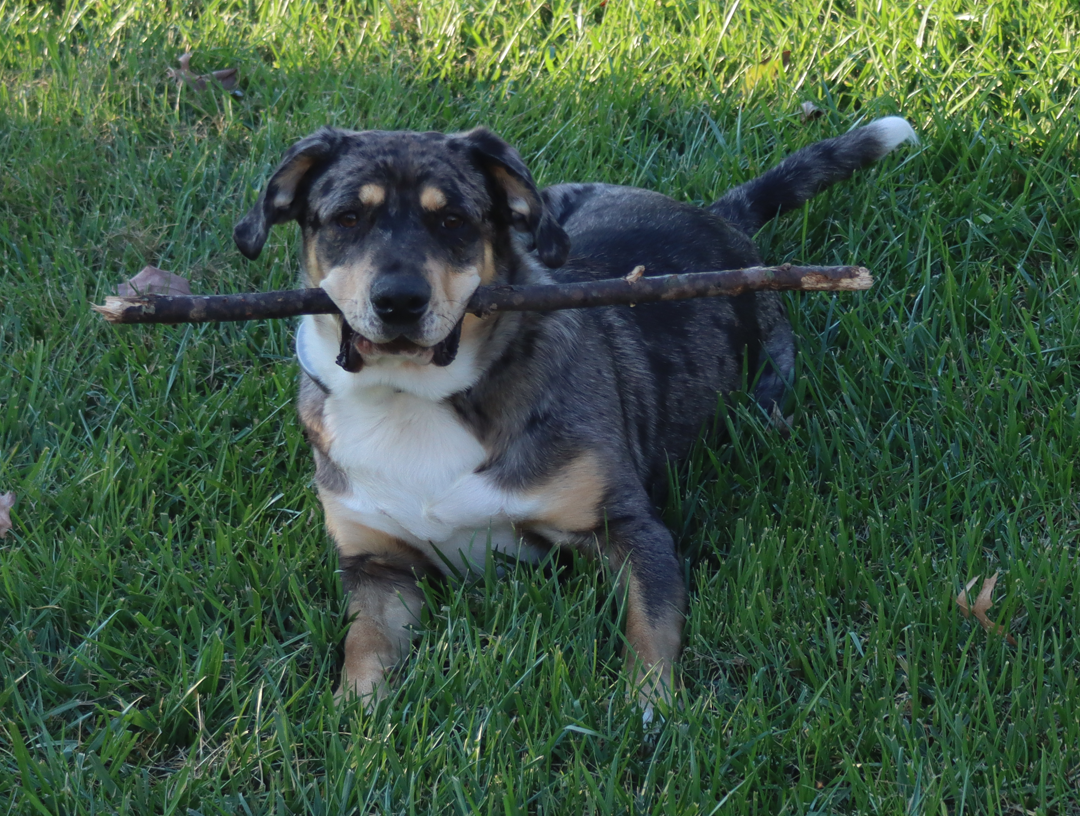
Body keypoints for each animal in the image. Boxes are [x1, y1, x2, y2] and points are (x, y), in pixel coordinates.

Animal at [232, 116, 915, 712]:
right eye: (347, 218)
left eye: (454, 220)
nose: (399, 301)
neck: (413, 399)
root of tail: (717, 217)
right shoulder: (376, 565)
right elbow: (364, 647)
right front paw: (355, 720)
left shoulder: (629, 530)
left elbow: (651, 628)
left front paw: (650, 710)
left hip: (769, 374)